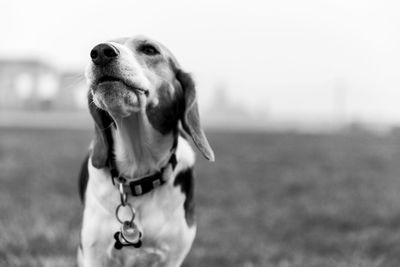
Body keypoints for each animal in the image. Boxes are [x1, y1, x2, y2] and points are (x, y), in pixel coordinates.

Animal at [78, 36, 216, 267]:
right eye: (102, 46)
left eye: (149, 49)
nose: (100, 51)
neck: (138, 170)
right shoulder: (93, 255)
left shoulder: (172, 259)